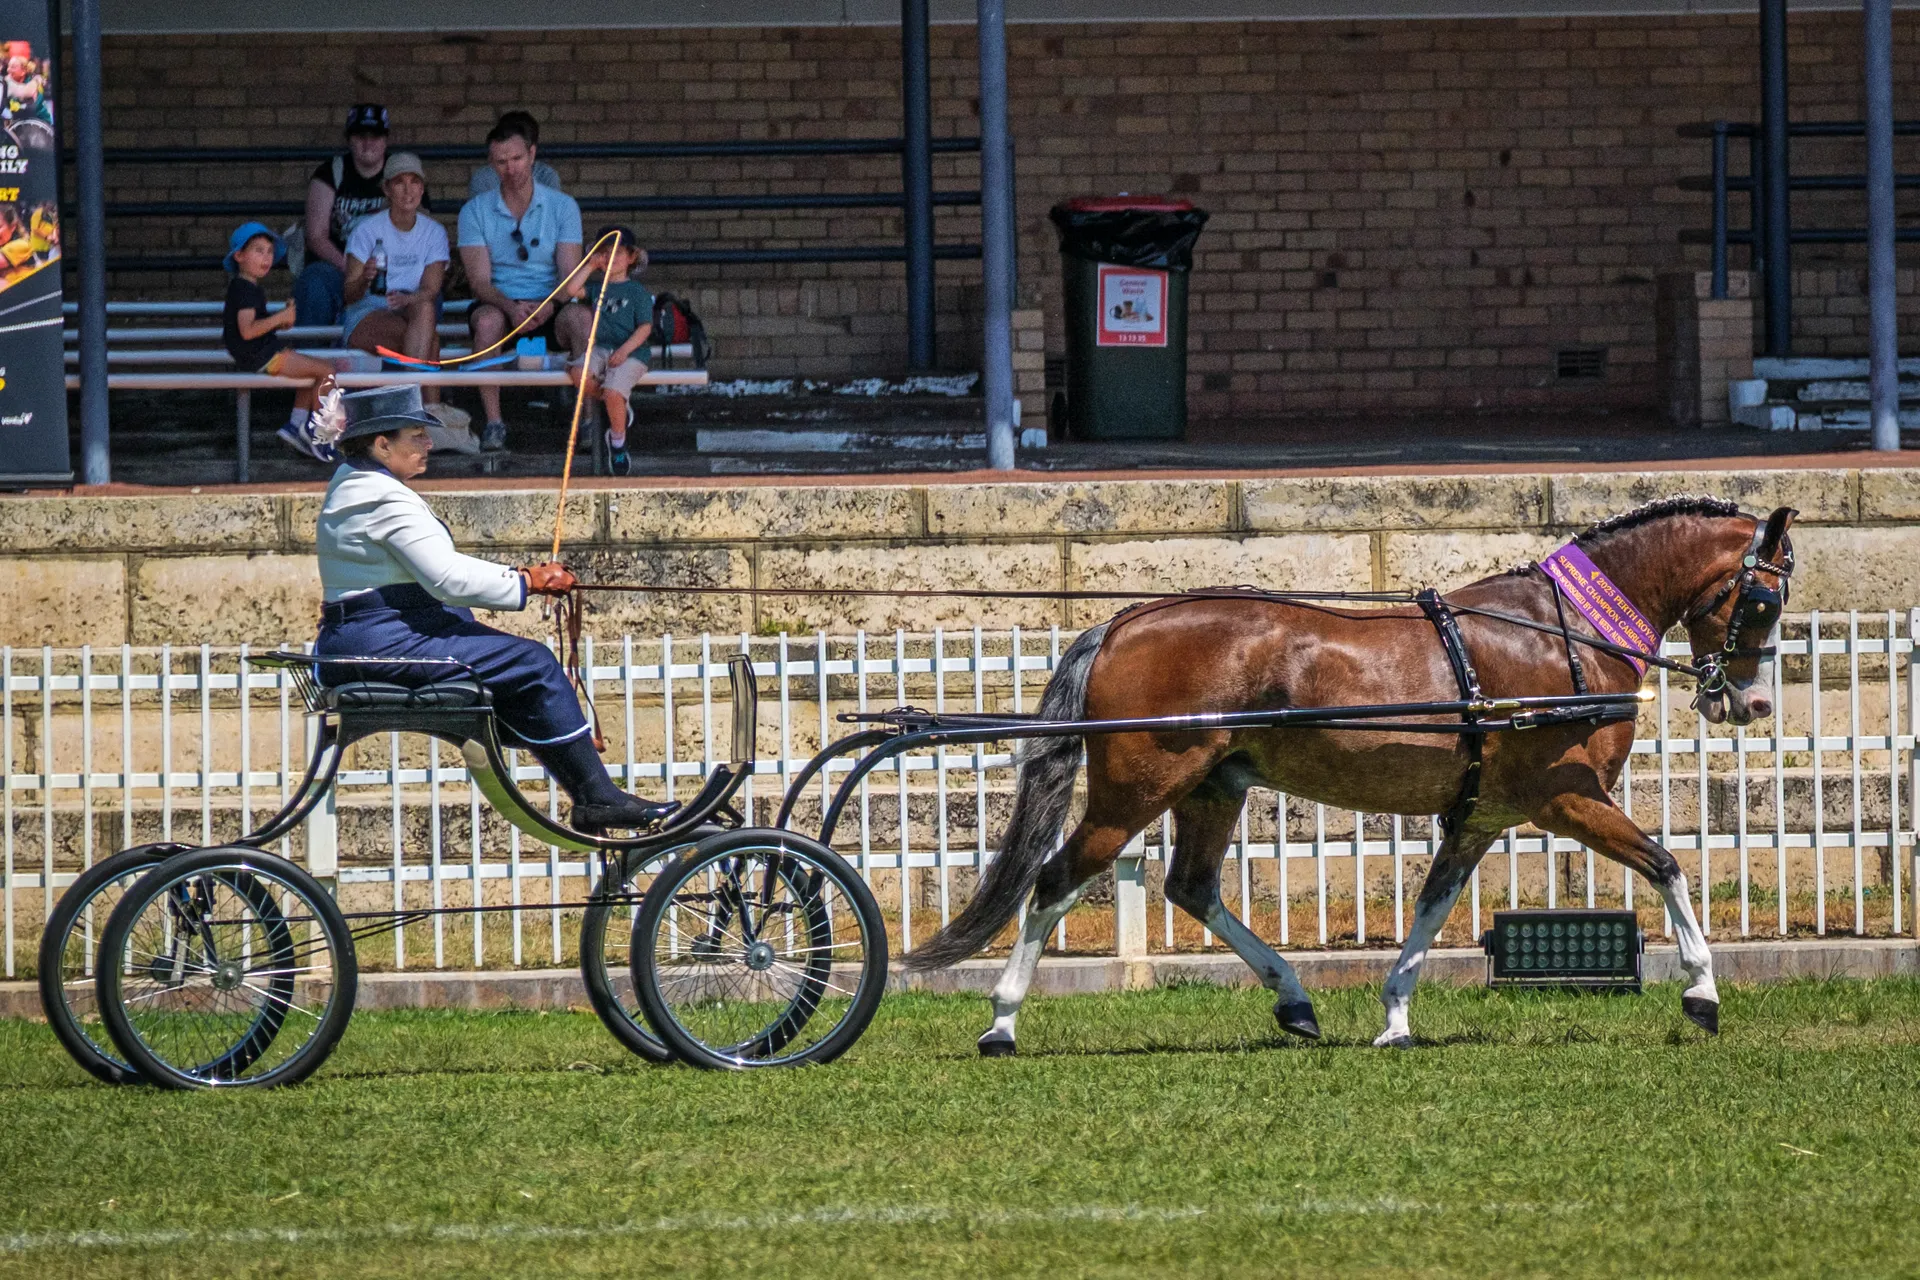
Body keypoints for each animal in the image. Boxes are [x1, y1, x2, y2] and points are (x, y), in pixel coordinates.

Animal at [905, 497, 1796, 1052]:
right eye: (1763, 601)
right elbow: (1667, 864)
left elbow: (1432, 910)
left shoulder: (1480, 815)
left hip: (1213, 787)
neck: (1563, 634)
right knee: (1056, 881)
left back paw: (1294, 1000)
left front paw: (1395, 1015)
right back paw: (1002, 1021)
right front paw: (1703, 991)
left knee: (1191, 888)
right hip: (1136, 791)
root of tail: (1125, 619)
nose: (1749, 701)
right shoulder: (1565, 797)